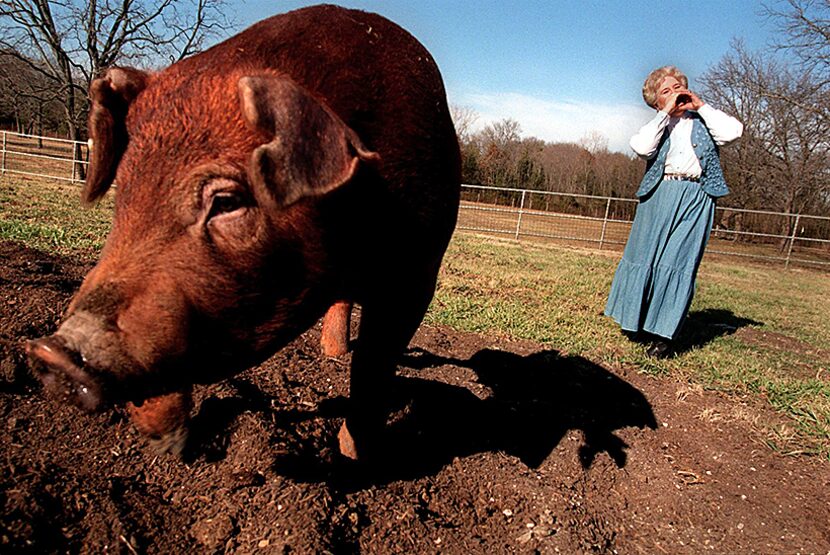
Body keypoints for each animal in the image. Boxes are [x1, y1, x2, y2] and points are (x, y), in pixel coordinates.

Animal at [26, 5, 464, 460]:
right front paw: (169, 448)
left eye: (227, 201)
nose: (52, 353)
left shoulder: (417, 275)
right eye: (124, 188)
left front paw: (352, 458)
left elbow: (374, 368)